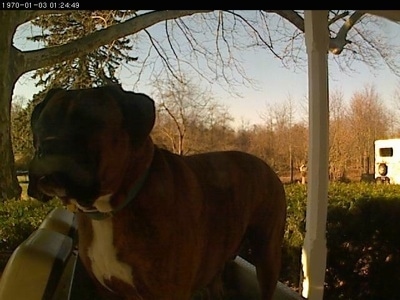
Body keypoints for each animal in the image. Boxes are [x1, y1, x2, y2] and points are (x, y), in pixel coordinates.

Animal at [26, 85, 286, 300]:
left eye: (88, 123)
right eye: (40, 125)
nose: (48, 147)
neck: (111, 209)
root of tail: (266, 165)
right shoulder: (109, 292)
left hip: (267, 256)